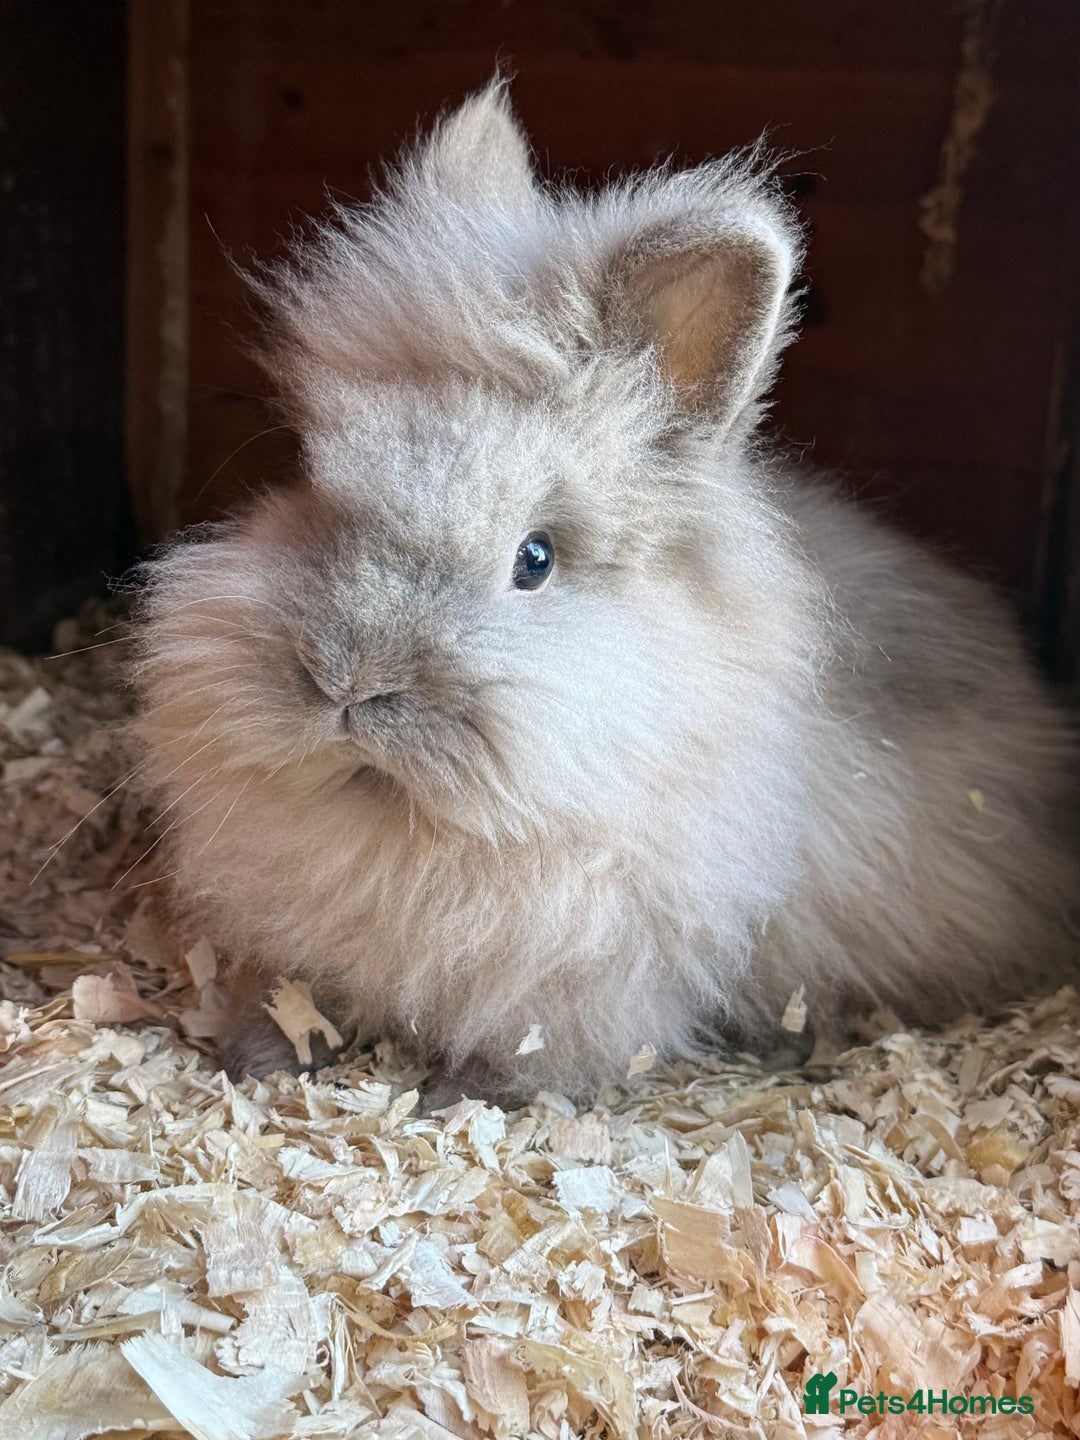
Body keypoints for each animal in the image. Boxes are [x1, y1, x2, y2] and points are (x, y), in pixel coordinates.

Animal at [131, 81, 1079, 1105]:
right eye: (310, 482)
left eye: (535, 559)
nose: (347, 682)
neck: (402, 829)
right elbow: (297, 995)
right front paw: (260, 1054)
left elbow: (527, 1056)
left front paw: (452, 1096)